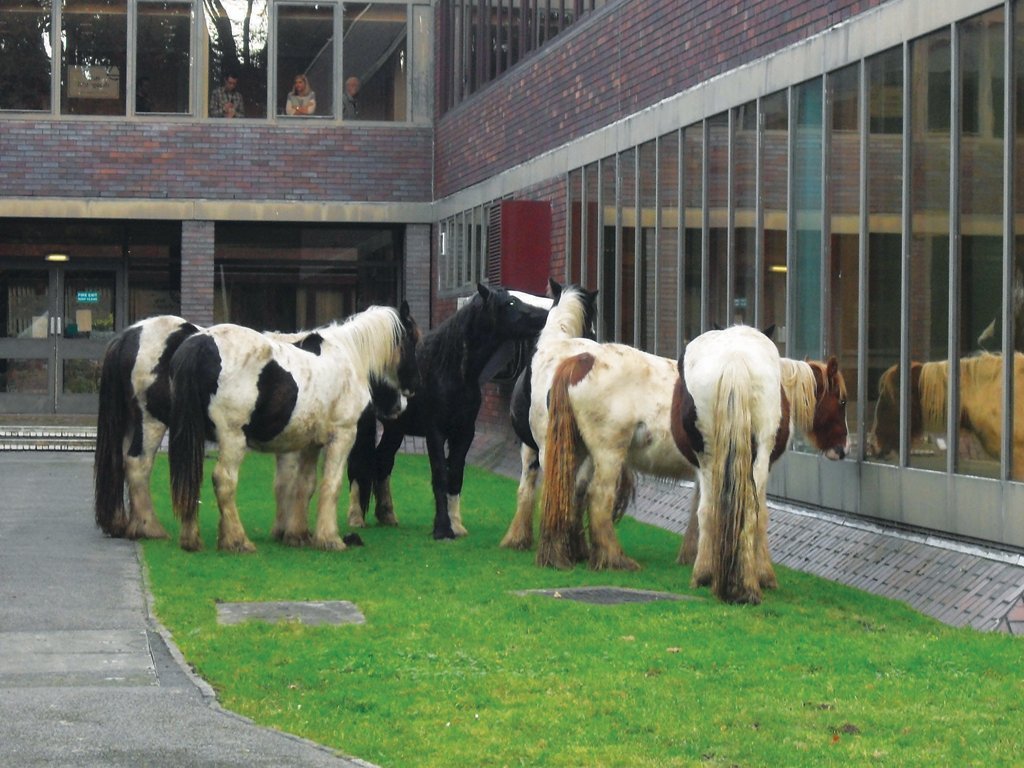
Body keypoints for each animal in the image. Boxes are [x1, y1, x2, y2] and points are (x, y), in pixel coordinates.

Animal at [168, 304, 420, 552]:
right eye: (412, 339)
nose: (407, 399)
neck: (349, 355)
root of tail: (199, 342)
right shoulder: (342, 436)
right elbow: (331, 485)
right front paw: (329, 538)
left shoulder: (311, 443)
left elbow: (305, 485)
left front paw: (297, 535)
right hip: (232, 439)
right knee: (224, 480)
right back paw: (238, 541)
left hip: (193, 438)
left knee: (192, 481)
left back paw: (191, 540)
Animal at [345, 283, 549, 540]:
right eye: (511, 302)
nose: (547, 314)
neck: (449, 369)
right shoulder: (436, 433)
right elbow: (440, 475)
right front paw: (442, 528)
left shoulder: (464, 433)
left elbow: (456, 476)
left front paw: (457, 525)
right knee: (358, 464)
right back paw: (356, 517)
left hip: (395, 428)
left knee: (383, 460)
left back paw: (387, 515)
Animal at [673, 350, 850, 599]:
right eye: (842, 401)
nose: (844, 449)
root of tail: (734, 363)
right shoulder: (765, 466)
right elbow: (762, 514)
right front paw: (764, 575)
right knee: (750, 509)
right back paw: (747, 585)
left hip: (709, 461)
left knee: (708, 510)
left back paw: (703, 574)